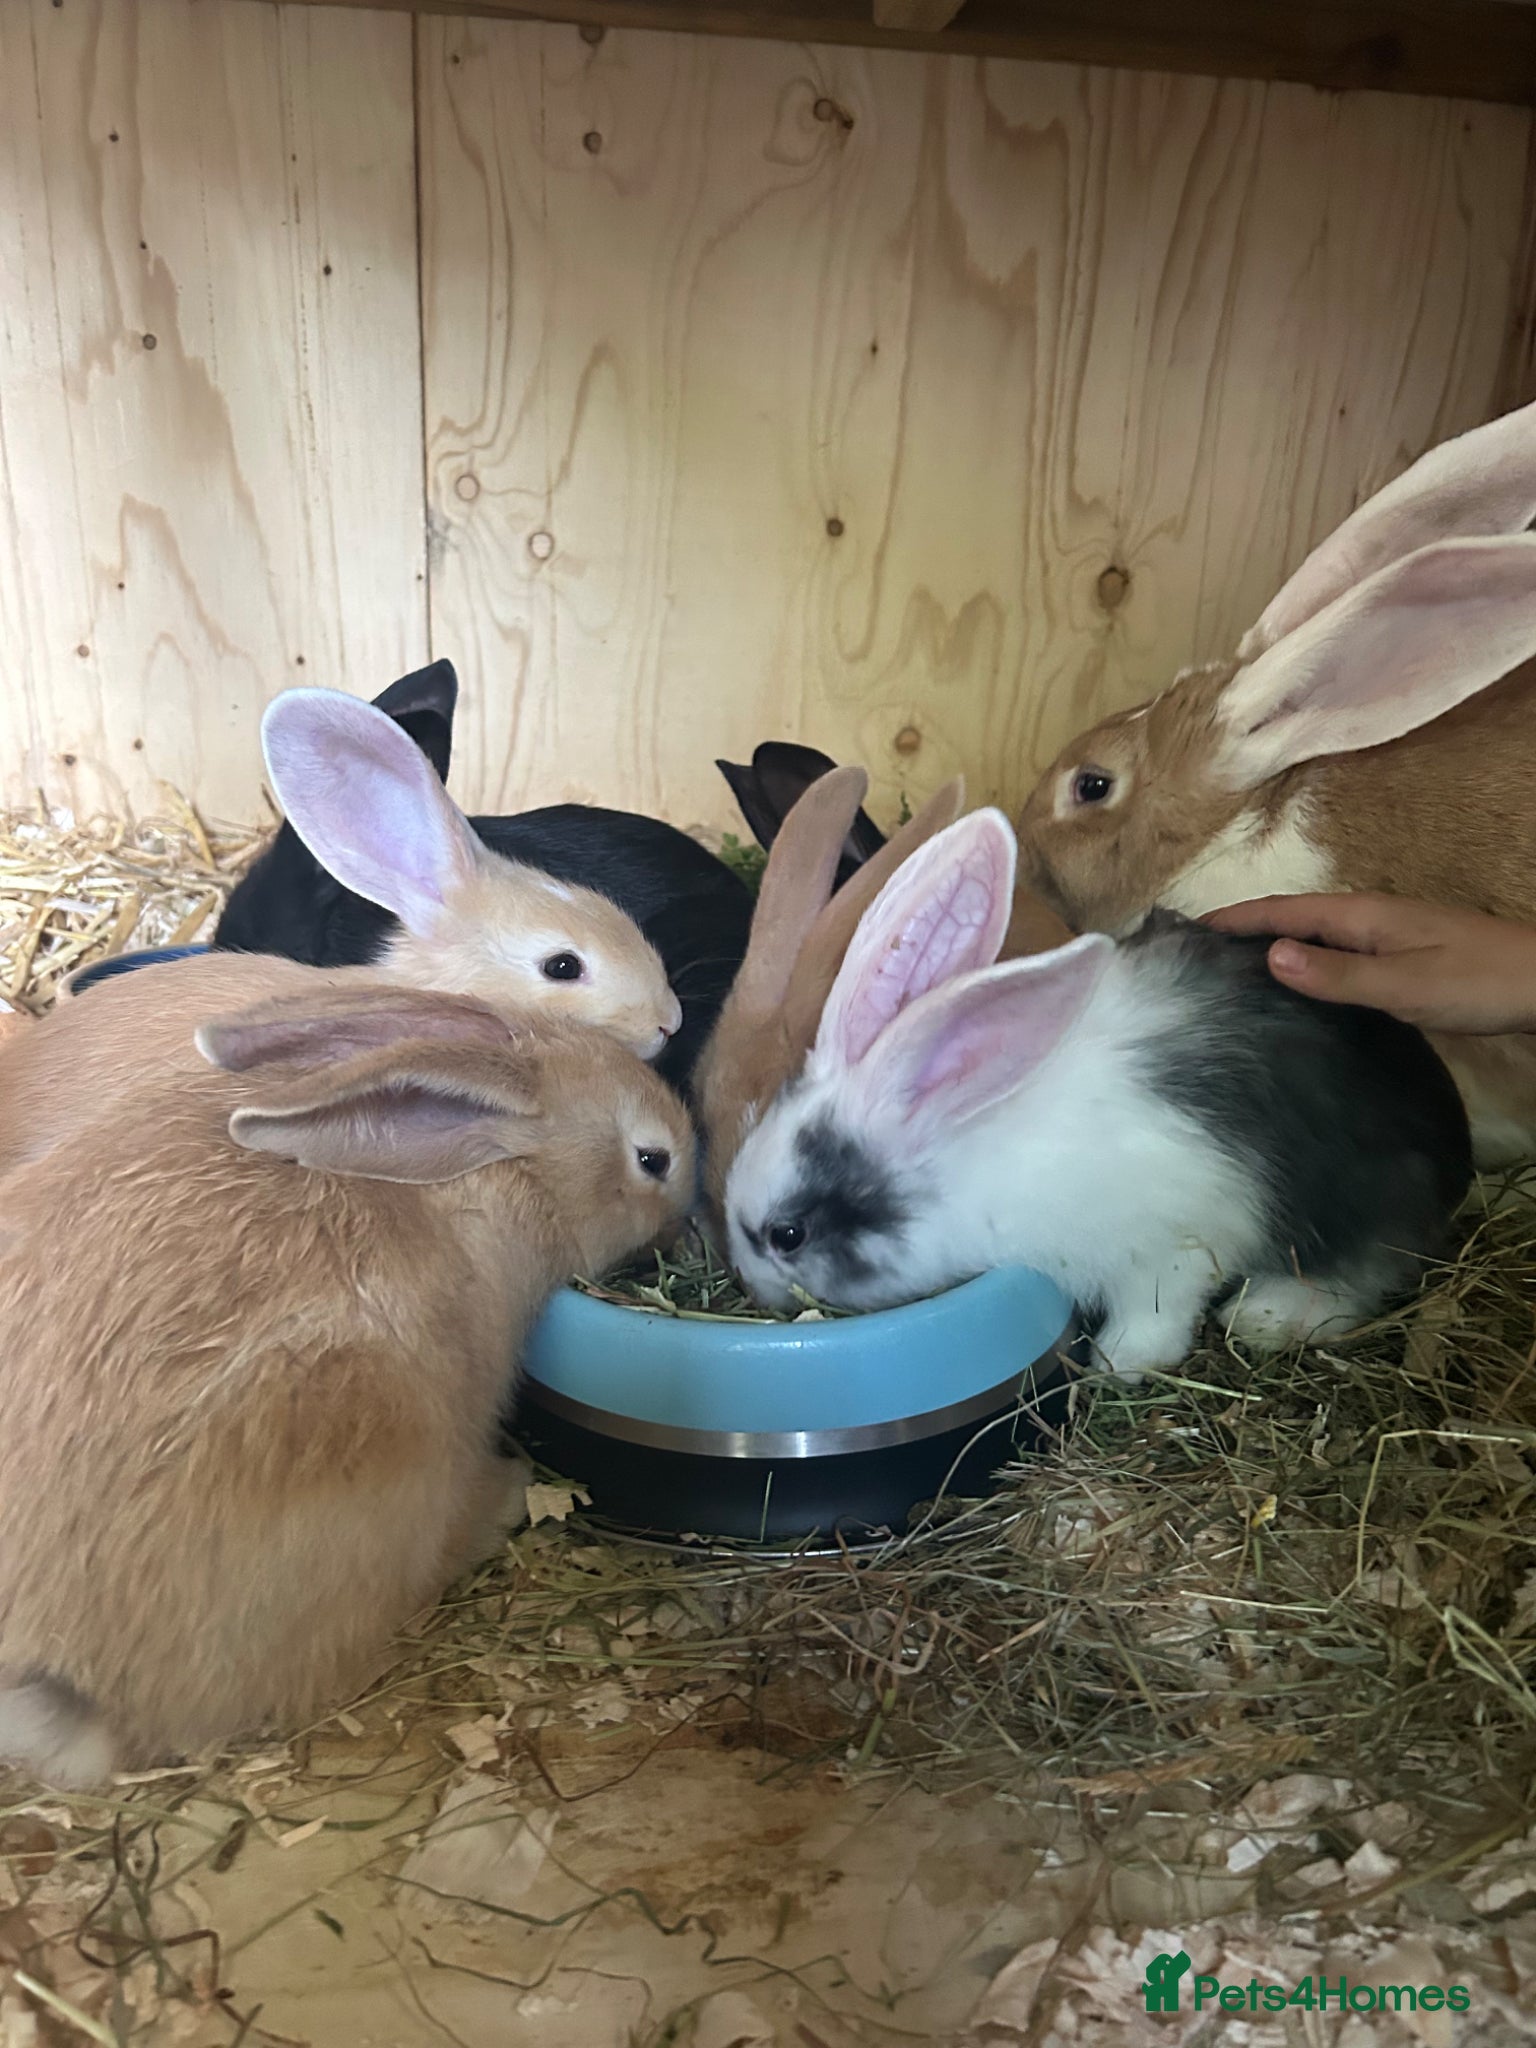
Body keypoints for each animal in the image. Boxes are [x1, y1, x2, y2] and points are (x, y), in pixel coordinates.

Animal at [723, 808, 1472, 1380]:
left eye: (786, 1235)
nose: (754, 1290)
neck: (963, 1138)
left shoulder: (1174, 1242)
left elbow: (1157, 1312)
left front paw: (1118, 1364)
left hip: (1366, 1197)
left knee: (1363, 1272)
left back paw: (1266, 1314)